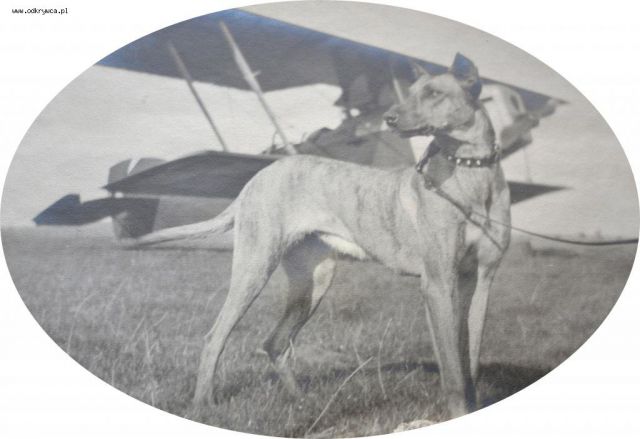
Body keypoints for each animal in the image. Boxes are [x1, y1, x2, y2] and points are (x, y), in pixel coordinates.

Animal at [133, 53, 511, 417]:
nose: (388, 118)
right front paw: (458, 411)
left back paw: (299, 401)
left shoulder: (480, 283)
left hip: (313, 281)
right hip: (254, 269)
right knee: (215, 337)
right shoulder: (437, 283)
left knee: (275, 343)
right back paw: (203, 404)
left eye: (433, 93)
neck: (472, 173)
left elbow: (469, 361)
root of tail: (256, 178)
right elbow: (452, 370)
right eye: (413, 91)